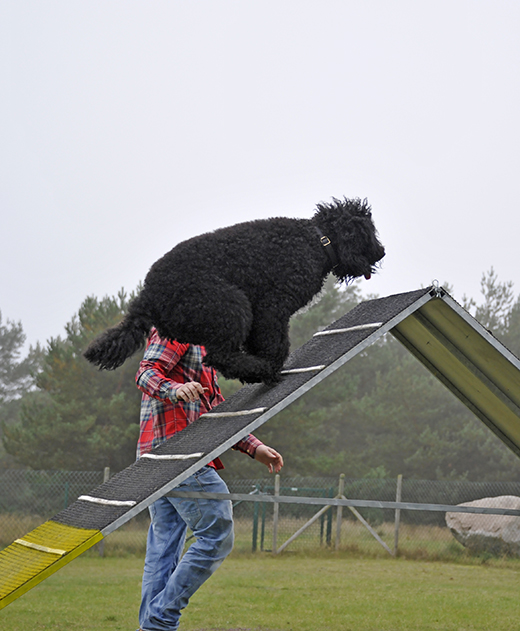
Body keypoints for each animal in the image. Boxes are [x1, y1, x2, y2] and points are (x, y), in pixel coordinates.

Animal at [83, 198, 384, 386]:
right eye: (368, 231)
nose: (382, 252)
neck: (318, 240)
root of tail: (147, 295)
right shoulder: (272, 307)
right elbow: (276, 343)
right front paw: (273, 365)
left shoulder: (261, 315)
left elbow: (261, 343)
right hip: (229, 306)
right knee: (220, 357)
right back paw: (262, 371)